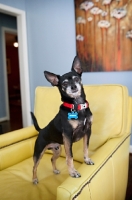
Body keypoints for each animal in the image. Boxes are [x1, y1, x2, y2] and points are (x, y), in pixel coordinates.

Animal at [31, 55, 94, 184]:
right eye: (64, 83)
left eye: (76, 78)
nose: (73, 86)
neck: (77, 106)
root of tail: (41, 130)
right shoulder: (68, 137)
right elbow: (70, 157)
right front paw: (73, 172)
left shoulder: (87, 131)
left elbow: (86, 148)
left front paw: (87, 159)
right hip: (39, 153)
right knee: (34, 167)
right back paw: (34, 179)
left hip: (57, 149)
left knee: (51, 159)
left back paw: (55, 170)